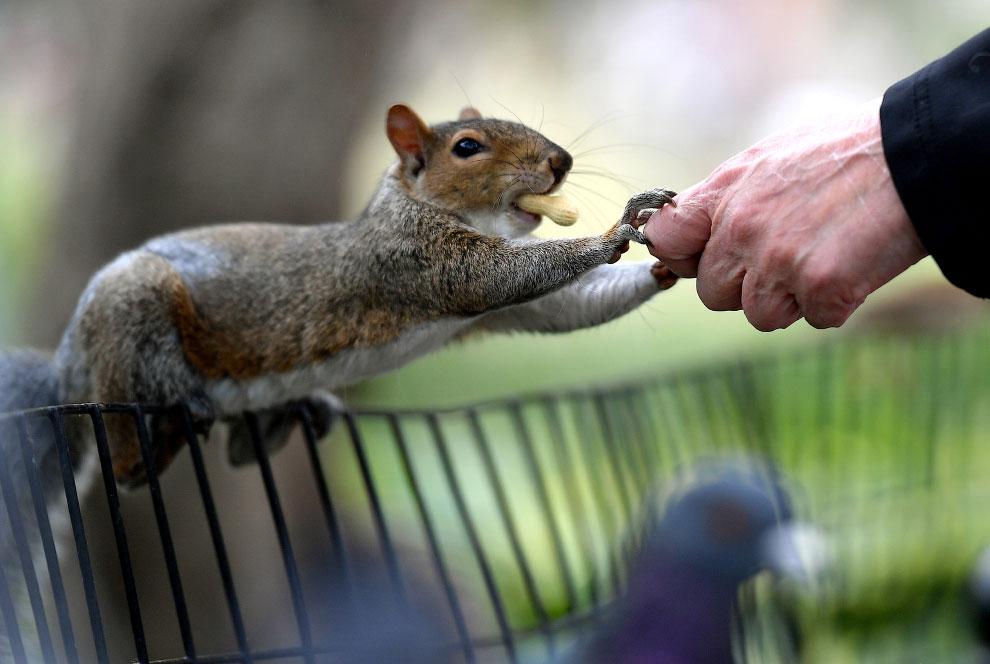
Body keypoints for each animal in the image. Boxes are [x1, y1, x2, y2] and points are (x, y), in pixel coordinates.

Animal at [0, 102, 680, 488]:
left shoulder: (511, 306)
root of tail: (69, 365)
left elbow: (565, 306)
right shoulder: (414, 260)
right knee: (125, 465)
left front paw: (664, 268)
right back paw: (172, 418)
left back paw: (289, 416)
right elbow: (495, 276)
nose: (561, 162)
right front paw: (617, 230)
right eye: (467, 148)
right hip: (130, 321)